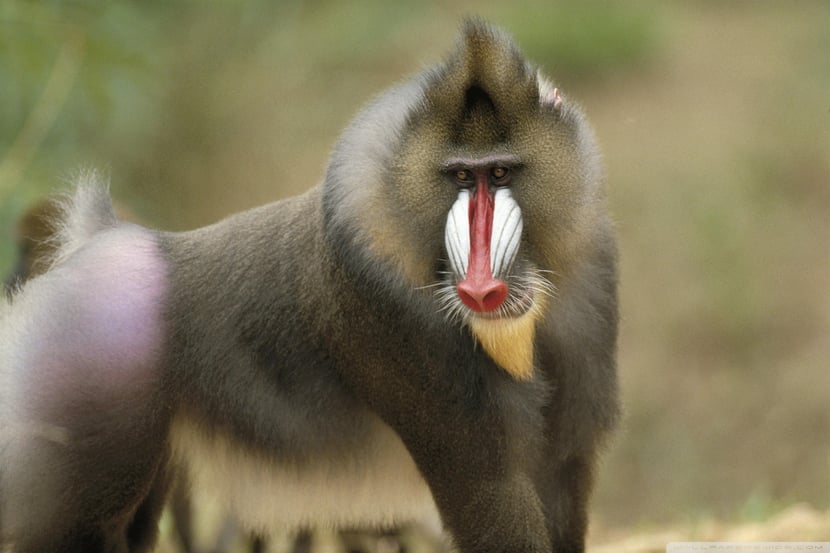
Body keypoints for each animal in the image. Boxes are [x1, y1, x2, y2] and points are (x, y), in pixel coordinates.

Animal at [0, 19, 619, 553]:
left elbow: (561, 478)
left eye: (502, 172)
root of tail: (103, 242)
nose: (481, 289)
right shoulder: (408, 344)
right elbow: (490, 495)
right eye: (462, 176)